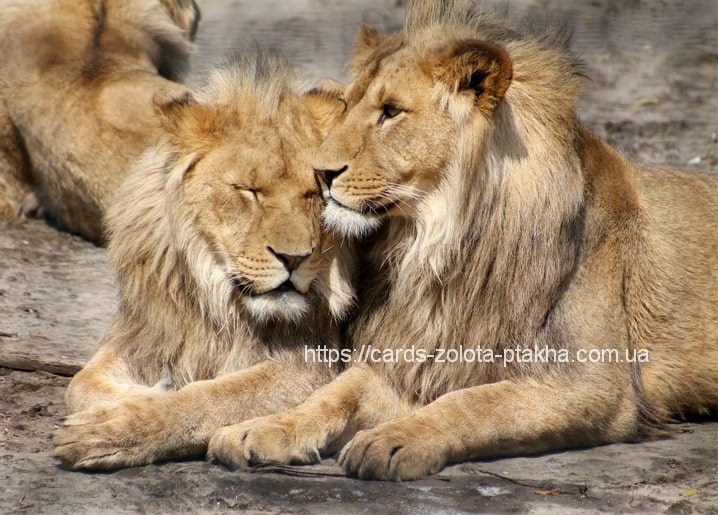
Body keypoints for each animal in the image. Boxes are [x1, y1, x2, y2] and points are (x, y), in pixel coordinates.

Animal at [52, 53, 355, 470]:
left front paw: (113, 427)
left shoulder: (310, 365)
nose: (294, 258)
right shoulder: (148, 334)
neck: (214, 297)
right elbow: (79, 385)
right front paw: (141, 394)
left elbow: (209, 397)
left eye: (315, 193)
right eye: (249, 191)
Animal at [207, 0, 718, 481]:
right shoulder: (419, 356)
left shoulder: (596, 385)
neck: (442, 249)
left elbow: (474, 403)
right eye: (347, 106)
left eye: (391, 112)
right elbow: (336, 391)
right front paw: (260, 429)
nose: (320, 173)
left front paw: (390, 441)